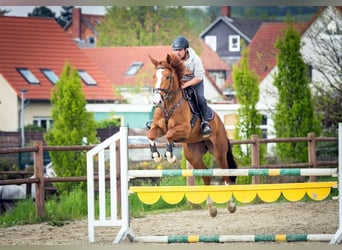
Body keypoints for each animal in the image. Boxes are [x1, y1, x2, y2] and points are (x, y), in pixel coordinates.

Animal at [147, 52, 238, 217]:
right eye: (154, 76)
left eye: (168, 77)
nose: (157, 102)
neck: (169, 104)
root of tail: (220, 123)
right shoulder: (158, 127)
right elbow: (150, 134)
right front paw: (156, 156)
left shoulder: (184, 129)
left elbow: (169, 134)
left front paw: (170, 156)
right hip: (193, 155)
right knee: (206, 176)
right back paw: (212, 209)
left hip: (219, 151)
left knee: (225, 174)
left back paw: (230, 205)